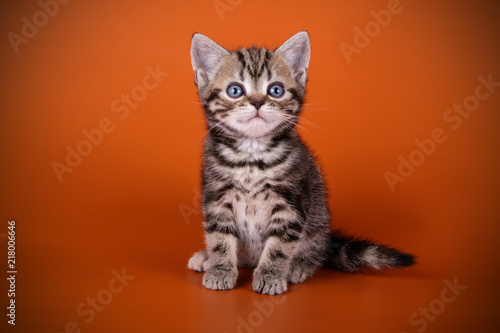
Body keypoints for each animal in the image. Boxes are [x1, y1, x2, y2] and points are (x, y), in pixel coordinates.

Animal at [188, 31, 414, 296]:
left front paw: (271, 275)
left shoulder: (291, 202)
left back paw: (299, 265)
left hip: (318, 219)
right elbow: (219, 238)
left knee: (315, 251)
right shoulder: (217, 198)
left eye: (275, 90)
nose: (257, 102)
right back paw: (206, 258)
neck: (252, 156)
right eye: (235, 90)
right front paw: (220, 269)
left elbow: (279, 245)